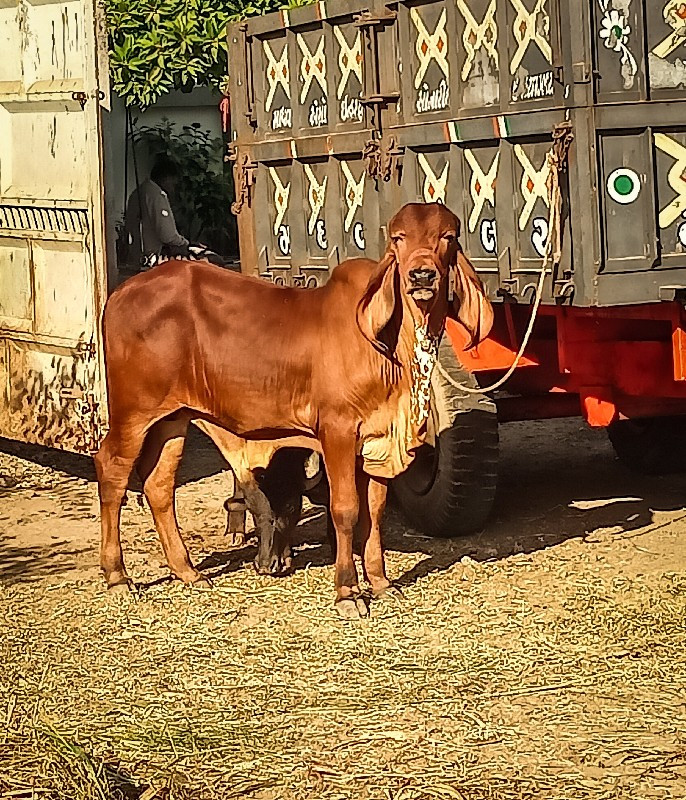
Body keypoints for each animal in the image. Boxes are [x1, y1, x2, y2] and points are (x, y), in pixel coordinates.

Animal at [97, 202, 494, 620]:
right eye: (399, 239)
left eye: (447, 237)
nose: (421, 274)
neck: (395, 349)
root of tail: (121, 292)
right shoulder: (337, 431)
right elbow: (346, 510)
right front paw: (348, 592)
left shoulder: (379, 439)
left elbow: (376, 512)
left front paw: (381, 583)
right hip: (133, 411)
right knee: (112, 470)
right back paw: (118, 576)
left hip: (173, 417)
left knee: (158, 483)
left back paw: (187, 571)